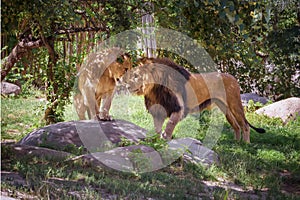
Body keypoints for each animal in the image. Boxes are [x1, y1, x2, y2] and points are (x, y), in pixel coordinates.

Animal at [119, 57, 264, 143]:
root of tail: (233, 78)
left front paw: (165, 139)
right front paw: (156, 140)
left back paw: (245, 144)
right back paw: (236, 143)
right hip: (225, 109)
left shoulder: (179, 109)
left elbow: (170, 124)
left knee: (245, 125)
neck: (155, 89)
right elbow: (157, 128)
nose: (125, 85)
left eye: (136, 75)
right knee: (236, 125)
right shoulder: (158, 111)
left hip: (235, 104)